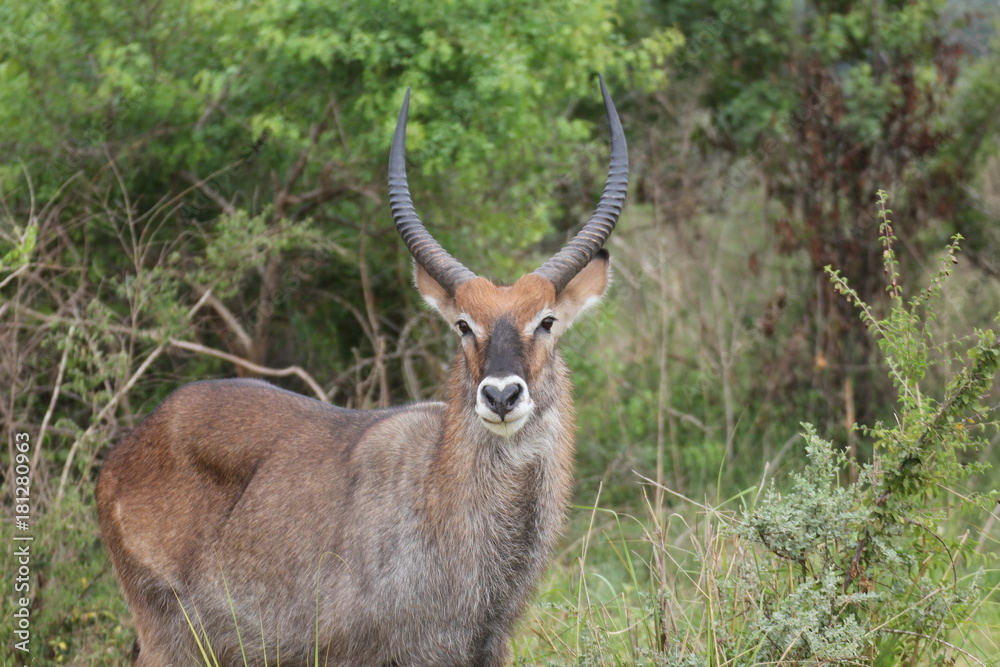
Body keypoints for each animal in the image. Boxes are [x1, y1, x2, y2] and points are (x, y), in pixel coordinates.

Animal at [99, 77, 632, 664]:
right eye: (463, 325)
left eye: (547, 321)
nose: (500, 396)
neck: (436, 491)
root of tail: (127, 450)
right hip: (168, 639)